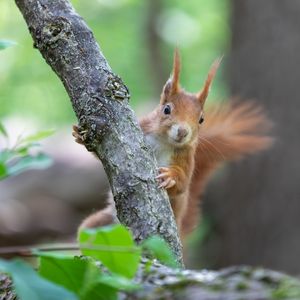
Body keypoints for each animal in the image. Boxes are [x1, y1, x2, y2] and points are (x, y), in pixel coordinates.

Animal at [74, 50, 274, 240]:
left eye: (201, 119)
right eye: (166, 109)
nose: (183, 132)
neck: (164, 141)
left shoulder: (186, 156)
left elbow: (183, 181)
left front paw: (170, 176)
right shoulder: (141, 128)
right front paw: (81, 135)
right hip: (98, 225)